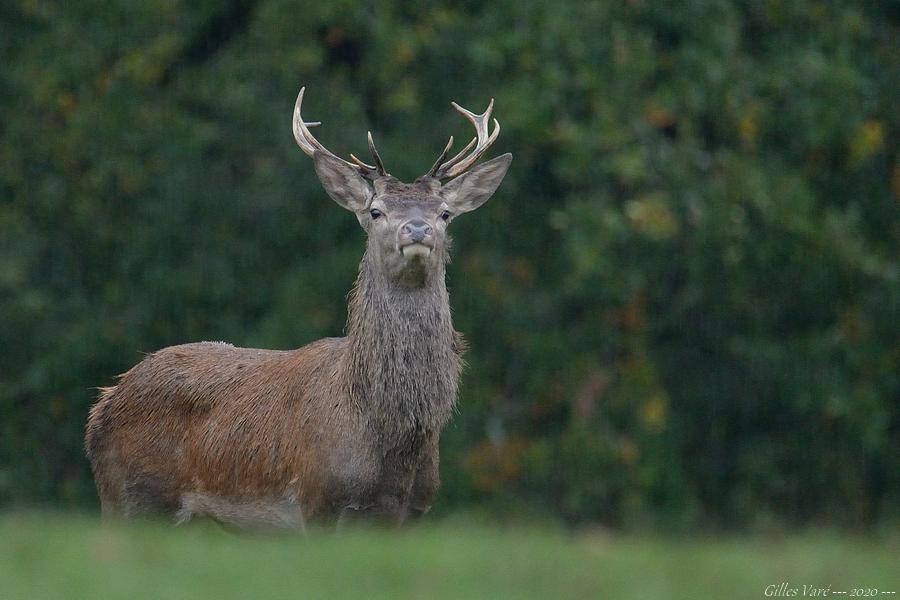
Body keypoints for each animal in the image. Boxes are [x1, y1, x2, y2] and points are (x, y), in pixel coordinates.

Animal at [85, 85, 512, 528]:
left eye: (444, 213)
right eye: (376, 211)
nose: (417, 229)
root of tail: (102, 406)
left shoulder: (410, 513)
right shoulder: (317, 499)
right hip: (130, 497)